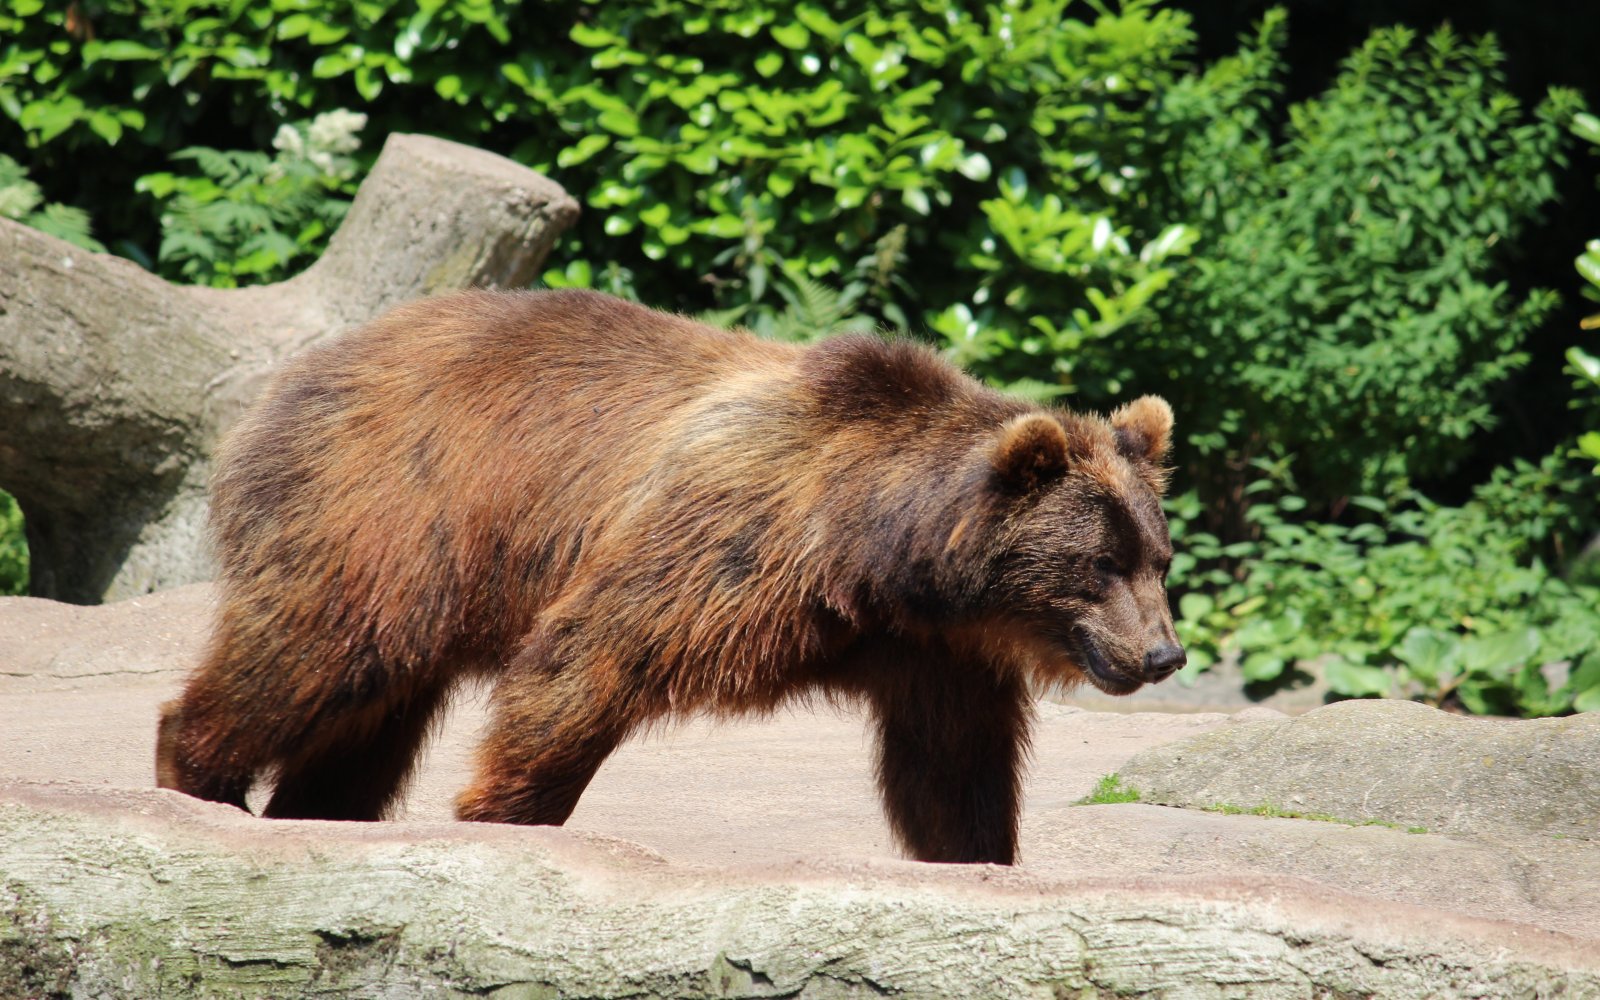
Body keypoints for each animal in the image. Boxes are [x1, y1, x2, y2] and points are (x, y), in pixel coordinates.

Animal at [156, 288, 1184, 864]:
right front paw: (501, 811)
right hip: (392, 511)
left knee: (370, 710)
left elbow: (952, 772)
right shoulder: (728, 538)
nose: (1164, 655)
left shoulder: (933, 654)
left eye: (1157, 557)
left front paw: (981, 856)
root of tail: (297, 374)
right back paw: (197, 778)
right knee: (313, 654)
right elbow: (586, 659)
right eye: (1100, 562)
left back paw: (319, 812)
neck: (872, 557)